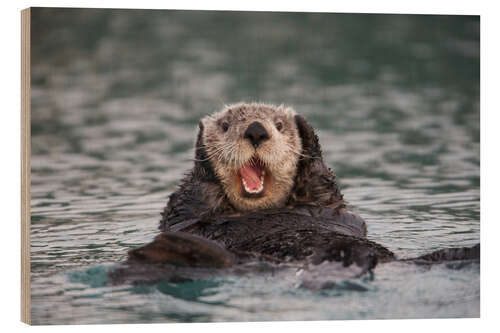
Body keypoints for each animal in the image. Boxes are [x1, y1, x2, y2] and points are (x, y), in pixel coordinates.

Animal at [111, 101, 478, 282]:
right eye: (226, 126)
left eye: (279, 126)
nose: (256, 130)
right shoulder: (185, 213)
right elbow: (190, 203)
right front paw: (202, 148)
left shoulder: (326, 204)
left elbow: (322, 184)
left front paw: (307, 130)